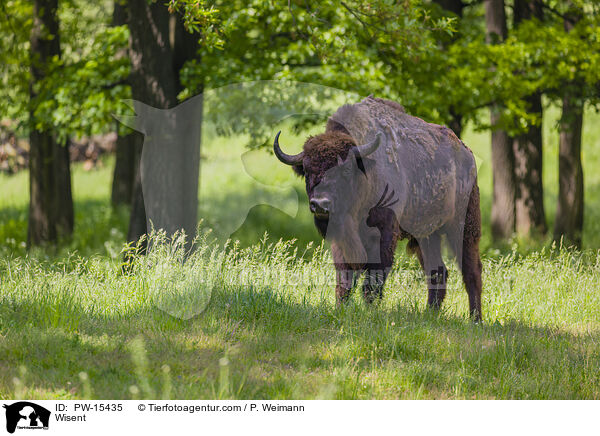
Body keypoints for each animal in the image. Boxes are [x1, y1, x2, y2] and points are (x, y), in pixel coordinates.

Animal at [274, 95, 482, 320]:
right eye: (307, 170)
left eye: (346, 169)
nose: (320, 204)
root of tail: (467, 153)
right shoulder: (340, 241)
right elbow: (344, 280)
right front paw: (340, 310)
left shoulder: (384, 234)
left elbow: (373, 280)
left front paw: (370, 312)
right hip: (427, 235)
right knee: (437, 271)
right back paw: (430, 314)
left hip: (462, 228)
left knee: (471, 271)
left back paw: (475, 319)